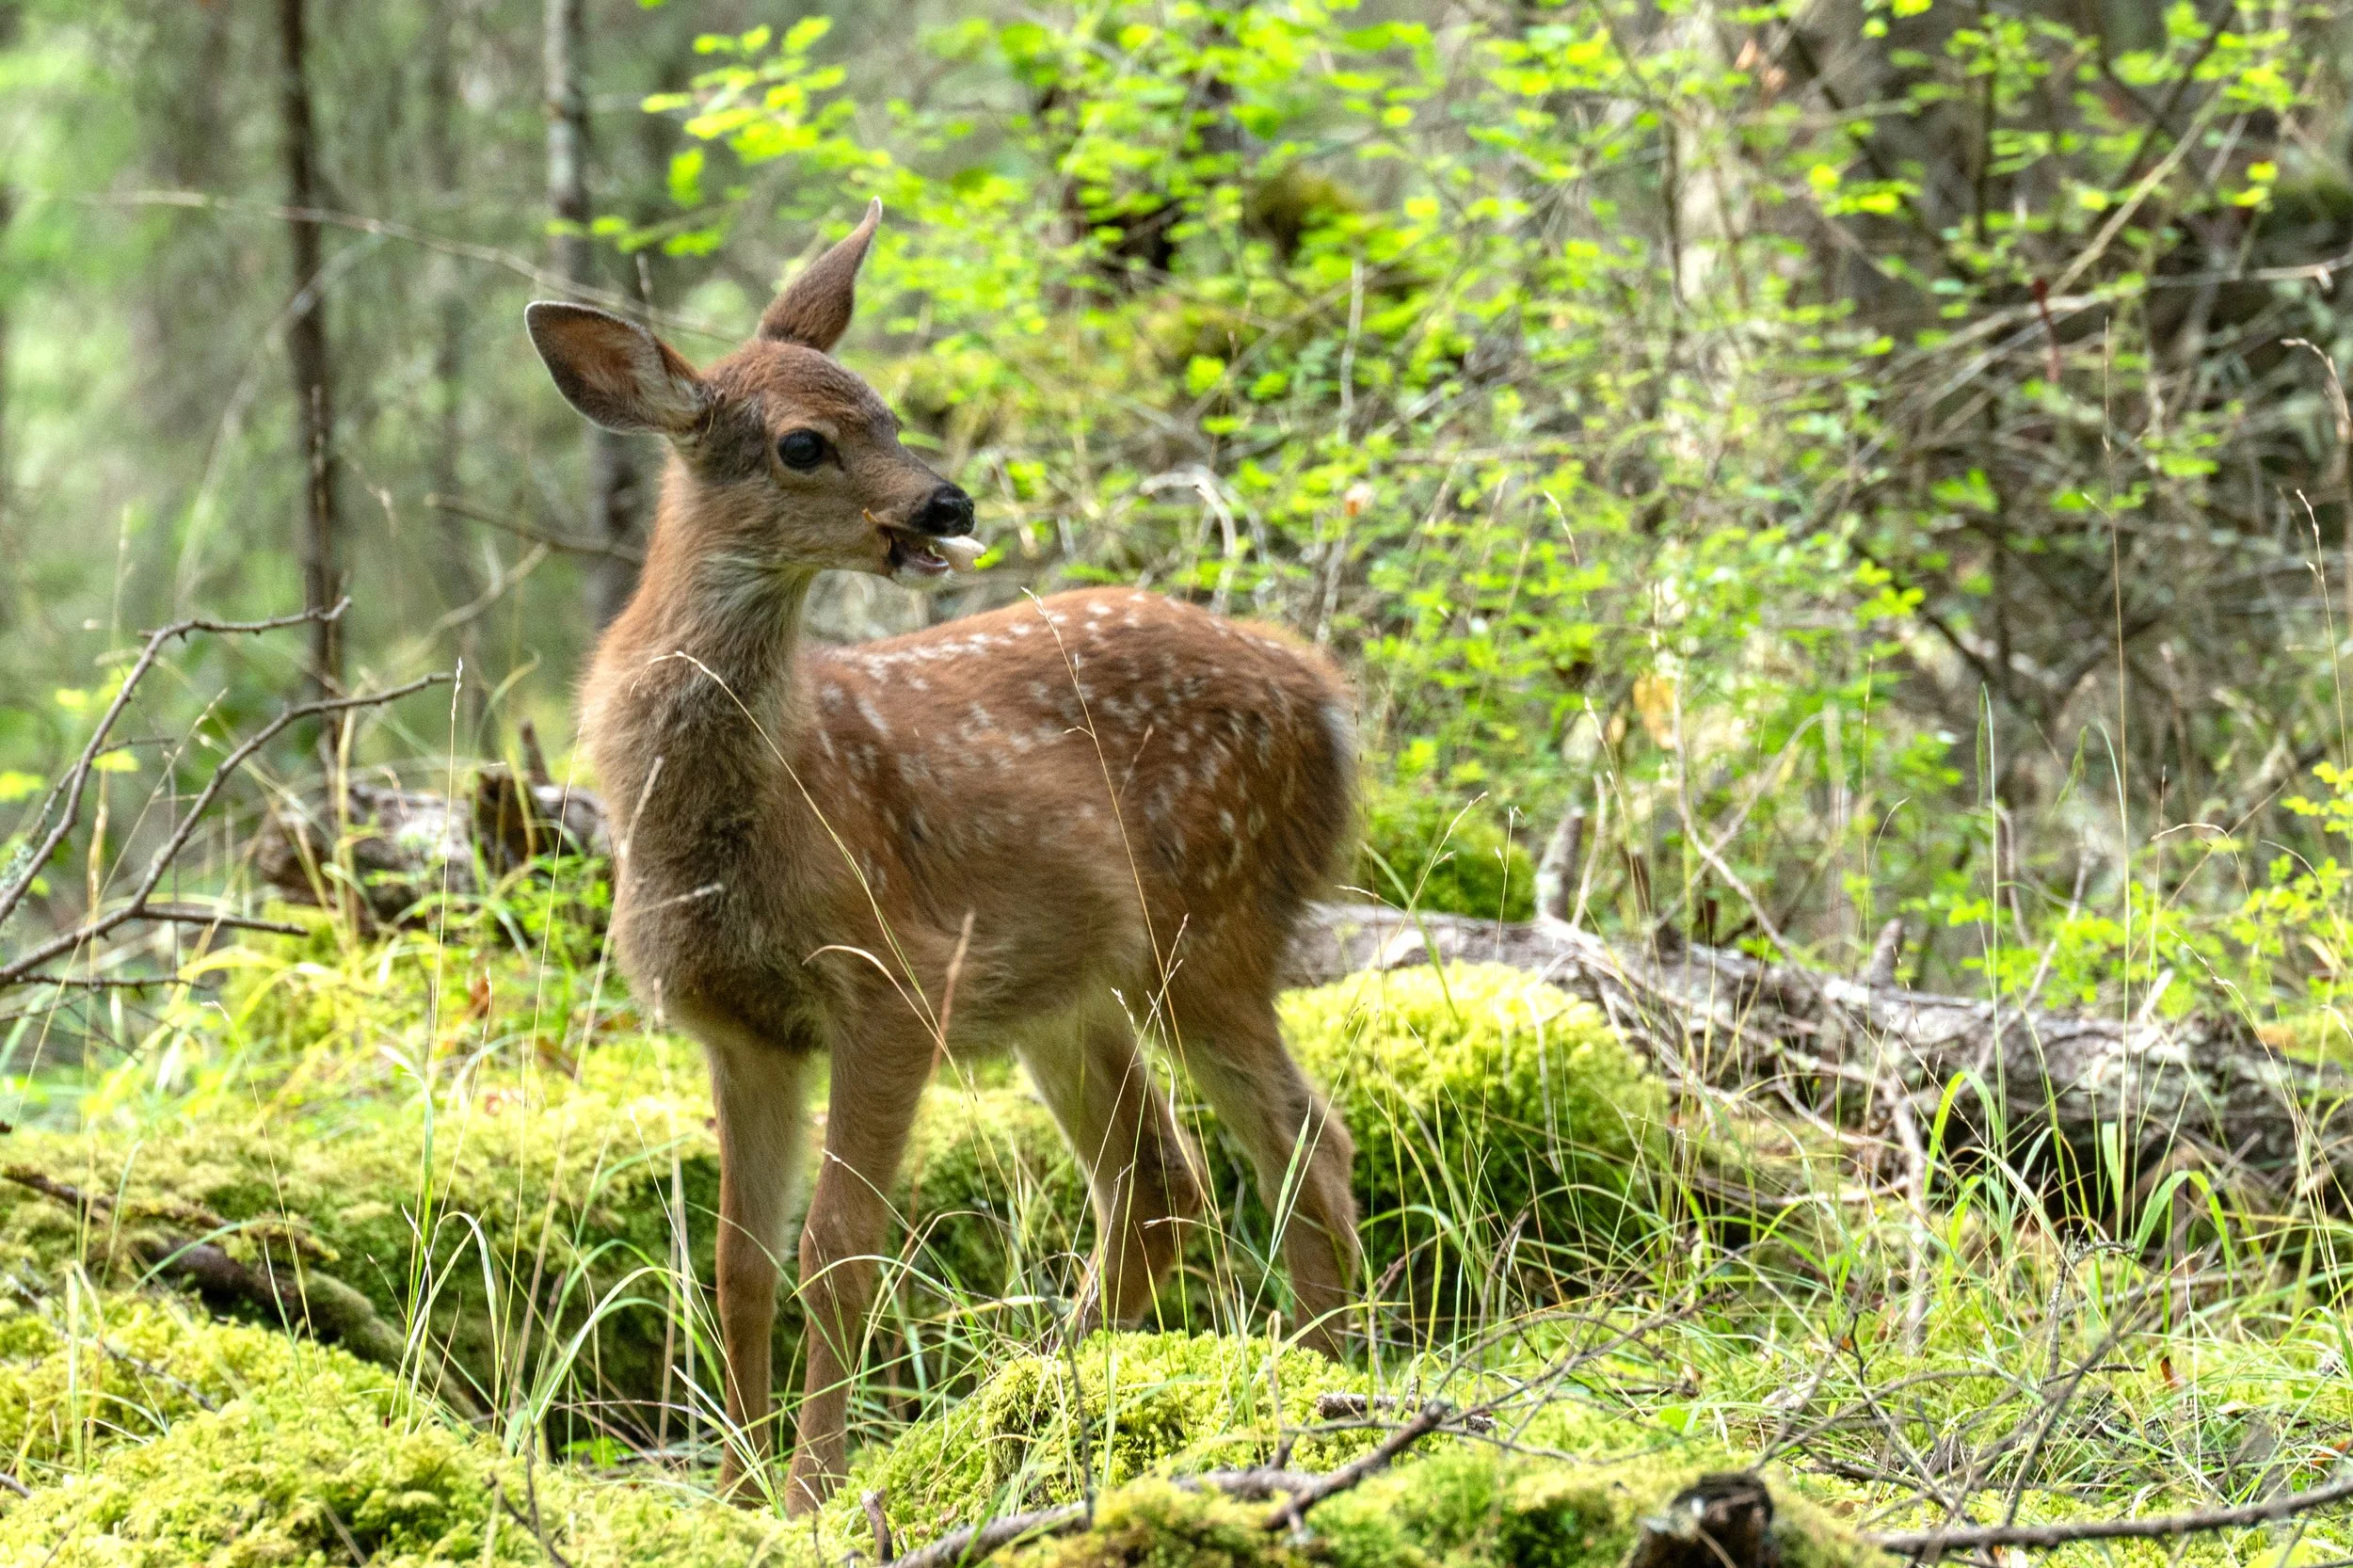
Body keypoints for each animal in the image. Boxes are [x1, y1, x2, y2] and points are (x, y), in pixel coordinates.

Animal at [524, 200, 1361, 1512]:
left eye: (890, 414)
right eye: (804, 443)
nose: (948, 505)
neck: (727, 821)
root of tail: (1324, 697)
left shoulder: (889, 981)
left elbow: (837, 1250)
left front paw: (811, 1489)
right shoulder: (737, 1025)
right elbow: (736, 1262)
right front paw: (740, 1490)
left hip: (1209, 927)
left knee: (1302, 1146)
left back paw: (1317, 1387)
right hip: (1065, 993)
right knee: (1158, 1181)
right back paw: (1037, 1400)